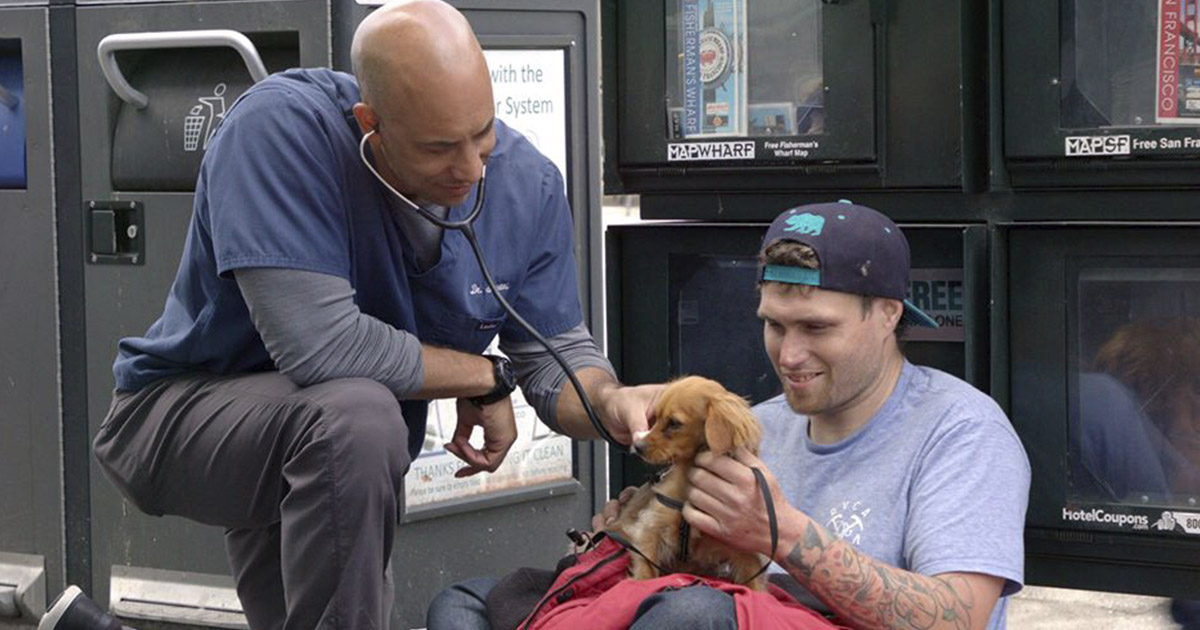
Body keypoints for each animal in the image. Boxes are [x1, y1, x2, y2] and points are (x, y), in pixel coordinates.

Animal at [607, 375, 768, 590]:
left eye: (674, 423)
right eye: (655, 418)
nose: (637, 446)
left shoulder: (745, 552)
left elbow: (756, 587)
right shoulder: (650, 529)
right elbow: (647, 570)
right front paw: (640, 585)